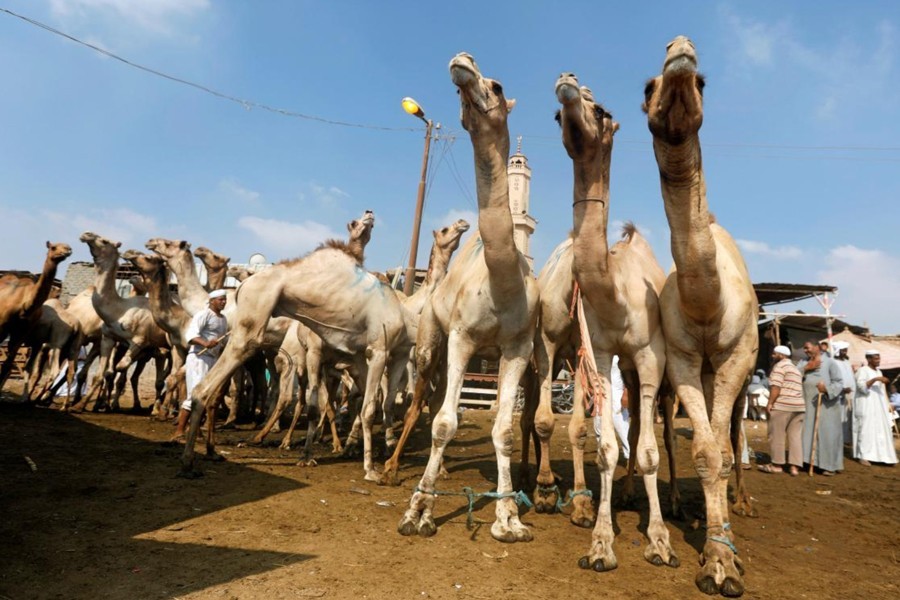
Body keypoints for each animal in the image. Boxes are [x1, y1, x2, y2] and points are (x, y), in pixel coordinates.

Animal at [398, 54, 536, 544]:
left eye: (497, 86)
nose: (463, 62)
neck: (503, 282)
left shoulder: (518, 347)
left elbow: (504, 430)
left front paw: (509, 518)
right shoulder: (461, 336)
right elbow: (444, 423)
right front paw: (418, 511)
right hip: (430, 340)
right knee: (422, 397)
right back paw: (394, 471)